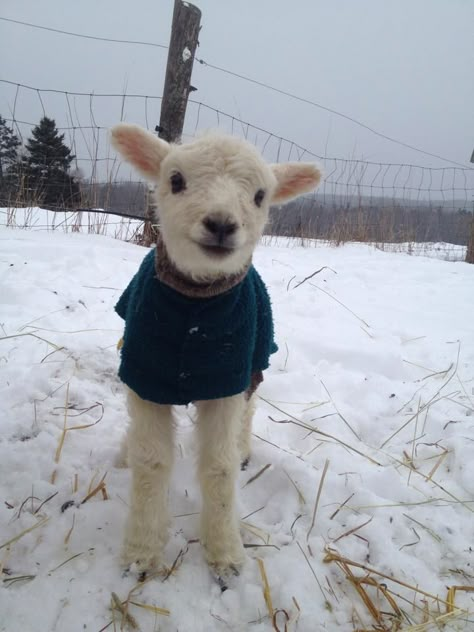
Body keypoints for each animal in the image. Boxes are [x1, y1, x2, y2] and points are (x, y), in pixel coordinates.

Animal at [110, 123, 322, 588]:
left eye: (260, 195)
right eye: (175, 180)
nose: (222, 224)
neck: (195, 305)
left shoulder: (227, 375)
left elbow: (218, 466)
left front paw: (226, 554)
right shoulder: (144, 372)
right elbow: (152, 462)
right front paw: (140, 553)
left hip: (256, 357)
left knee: (249, 408)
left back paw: (244, 449)